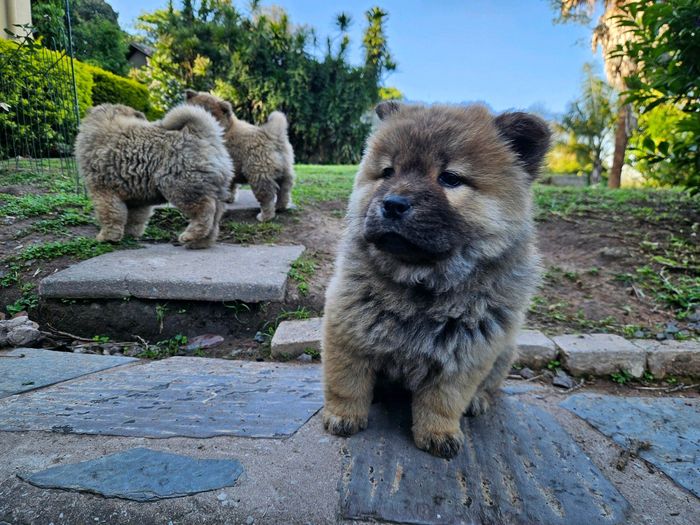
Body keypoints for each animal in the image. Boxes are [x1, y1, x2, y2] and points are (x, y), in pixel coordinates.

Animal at [75, 104, 232, 250]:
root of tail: (203, 135)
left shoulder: (103, 192)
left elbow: (110, 216)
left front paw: (106, 237)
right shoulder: (137, 198)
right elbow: (134, 219)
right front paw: (130, 234)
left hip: (180, 187)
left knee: (205, 211)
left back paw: (189, 236)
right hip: (213, 189)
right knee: (215, 218)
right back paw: (200, 243)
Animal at [185, 90, 294, 221]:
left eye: (210, 113)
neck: (226, 127)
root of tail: (273, 136)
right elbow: (231, 185)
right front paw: (229, 198)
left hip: (258, 174)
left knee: (266, 197)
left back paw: (264, 216)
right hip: (285, 171)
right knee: (284, 191)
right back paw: (280, 207)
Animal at [322, 100, 552, 456]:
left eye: (450, 178)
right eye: (388, 173)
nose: (393, 204)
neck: (422, 282)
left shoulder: (468, 350)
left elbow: (443, 400)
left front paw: (438, 434)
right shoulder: (349, 327)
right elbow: (347, 382)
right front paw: (343, 417)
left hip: (504, 351)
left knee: (490, 386)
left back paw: (478, 402)